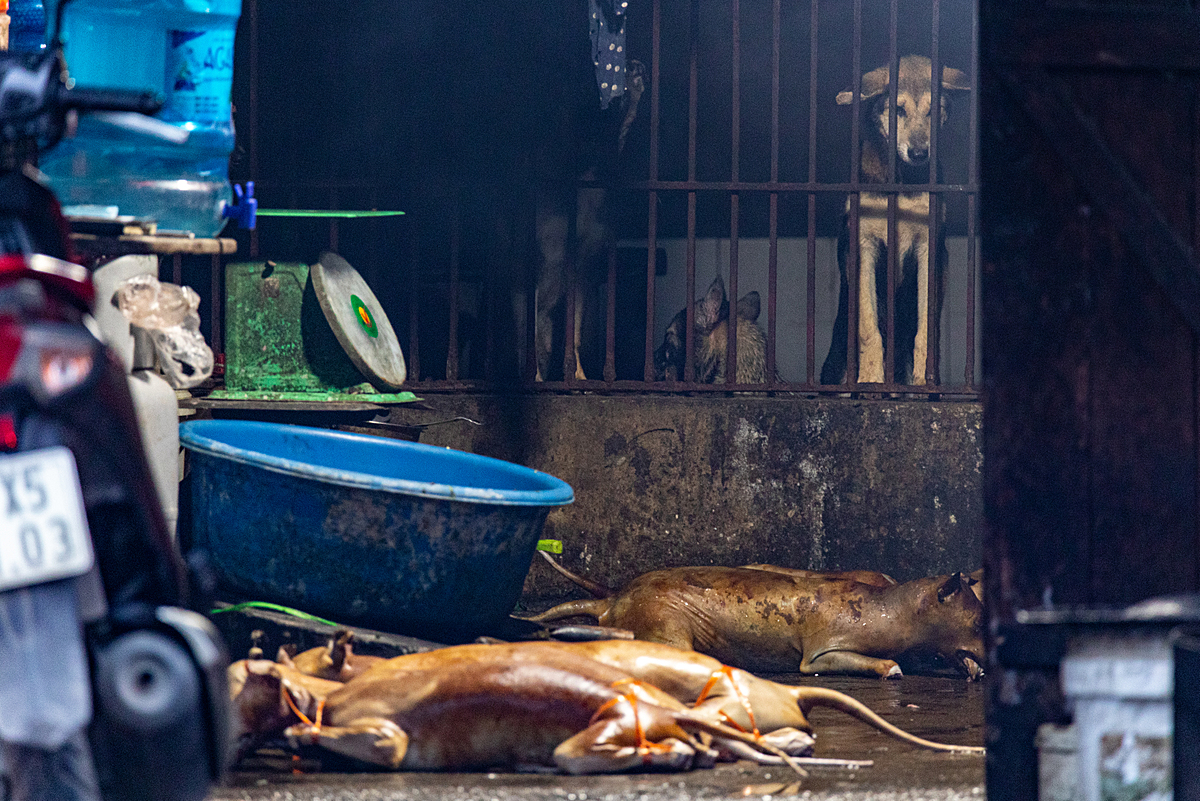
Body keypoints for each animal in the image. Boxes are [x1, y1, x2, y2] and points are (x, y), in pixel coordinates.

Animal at [820, 54, 969, 386]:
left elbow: (926, 330)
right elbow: (868, 328)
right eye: (898, 110)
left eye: (933, 111)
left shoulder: (929, 250)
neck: (902, 180)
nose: (919, 153)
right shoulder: (862, 247)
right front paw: (871, 379)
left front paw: (924, 380)